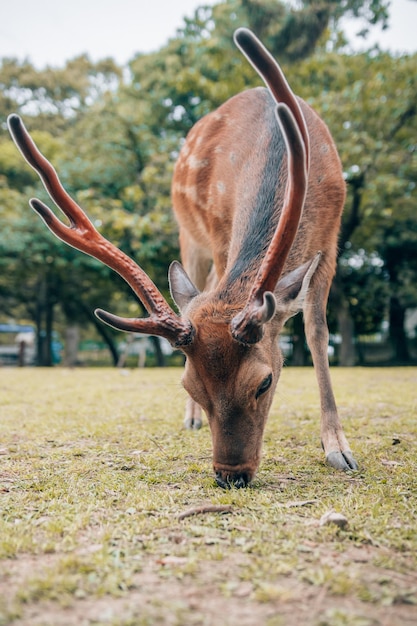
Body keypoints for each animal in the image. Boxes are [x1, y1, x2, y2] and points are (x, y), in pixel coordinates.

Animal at [7, 29, 358, 488]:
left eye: (264, 383)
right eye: (190, 386)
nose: (230, 474)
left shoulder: (332, 239)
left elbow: (317, 332)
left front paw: (337, 446)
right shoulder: (219, 230)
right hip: (189, 234)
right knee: (199, 282)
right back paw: (189, 421)